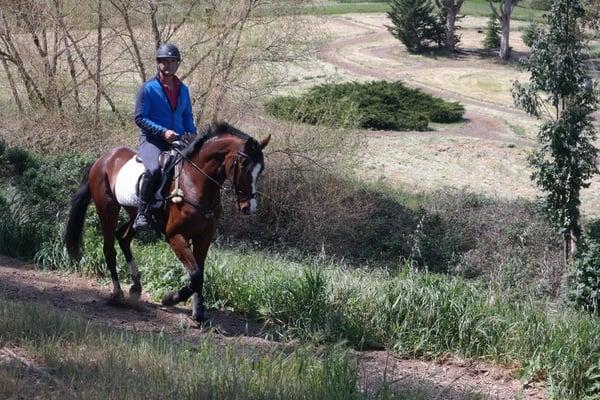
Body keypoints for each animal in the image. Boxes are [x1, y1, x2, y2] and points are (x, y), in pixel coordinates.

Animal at [65, 122, 270, 322]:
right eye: (243, 163)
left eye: (261, 168)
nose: (249, 207)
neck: (195, 183)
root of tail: (103, 159)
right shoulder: (175, 236)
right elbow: (195, 274)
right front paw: (171, 298)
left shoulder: (204, 237)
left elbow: (200, 272)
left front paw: (198, 311)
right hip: (108, 211)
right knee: (109, 250)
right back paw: (118, 295)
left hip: (134, 216)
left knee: (123, 238)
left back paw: (136, 288)